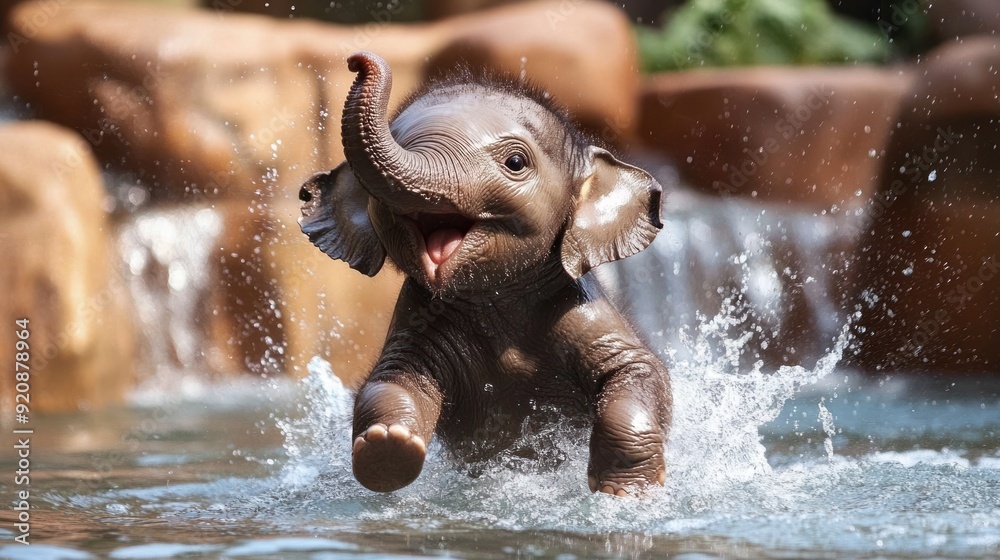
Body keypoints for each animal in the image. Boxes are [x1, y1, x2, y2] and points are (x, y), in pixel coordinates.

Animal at [299, 51, 671, 497]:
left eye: (516, 163)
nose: (357, 60)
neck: (494, 297)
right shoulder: (418, 319)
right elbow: (391, 378)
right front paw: (388, 445)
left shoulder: (583, 310)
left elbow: (640, 371)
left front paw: (624, 492)